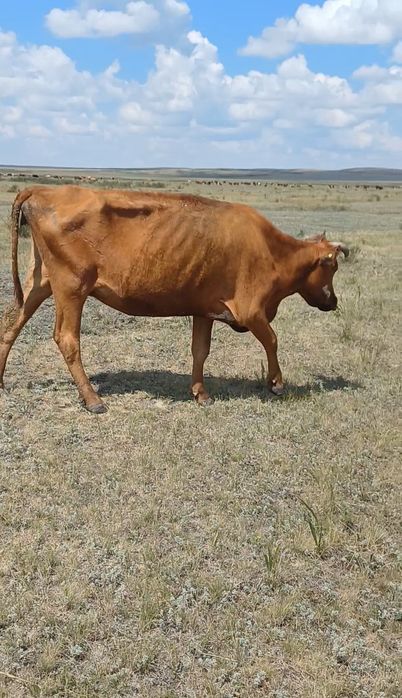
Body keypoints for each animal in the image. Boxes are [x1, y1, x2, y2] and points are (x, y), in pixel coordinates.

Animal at [0, 186, 349, 413]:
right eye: (331, 266)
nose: (333, 301)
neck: (273, 251)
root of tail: (43, 189)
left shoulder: (205, 309)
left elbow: (200, 351)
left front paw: (201, 393)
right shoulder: (250, 311)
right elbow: (272, 341)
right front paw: (276, 383)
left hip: (40, 281)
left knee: (11, 323)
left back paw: (2, 382)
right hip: (72, 286)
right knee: (67, 338)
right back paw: (93, 400)